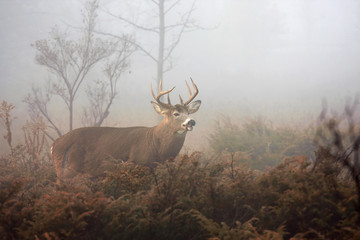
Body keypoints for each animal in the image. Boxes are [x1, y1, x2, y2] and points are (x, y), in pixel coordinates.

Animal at [51, 78, 201, 183]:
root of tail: (54, 144)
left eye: (188, 112)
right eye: (176, 113)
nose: (191, 121)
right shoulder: (137, 163)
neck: (156, 144)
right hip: (68, 170)